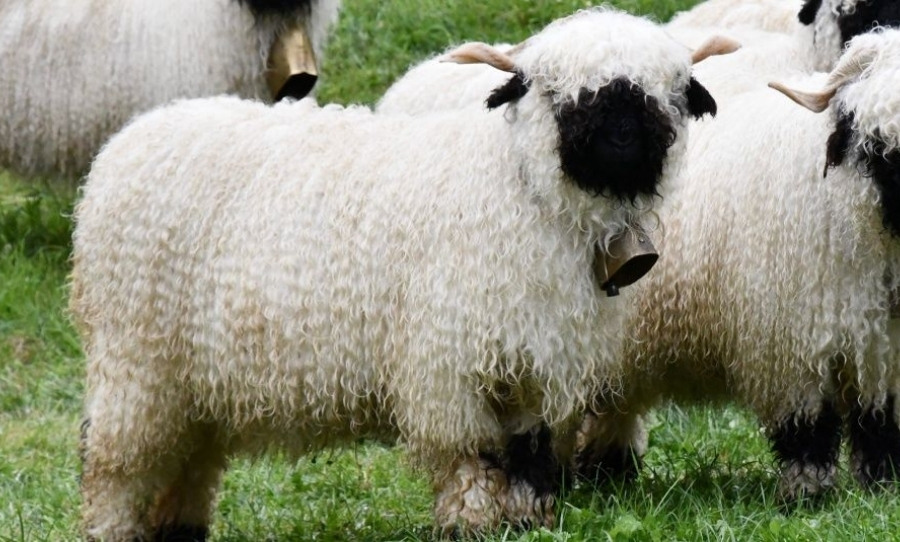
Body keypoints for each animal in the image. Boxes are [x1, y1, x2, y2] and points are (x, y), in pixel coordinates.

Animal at [68, 8, 732, 540]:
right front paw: (471, 523)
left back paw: (178, 528)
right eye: (553, 91)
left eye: (670, 91)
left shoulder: (536, 361)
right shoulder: (451, 364)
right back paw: (112, 526)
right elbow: (472, 454)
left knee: (188, 456)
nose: (622, 137)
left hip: (192, 376)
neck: (519, 191)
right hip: (137, 358)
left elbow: (529, 452)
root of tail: (132, 139)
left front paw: (524, 521)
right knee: (114, 461)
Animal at [576, 27, 900, 504]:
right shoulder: (788, 343)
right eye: (870, 131)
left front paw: (883, 486)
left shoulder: (882, 346)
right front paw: (807, 493)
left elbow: (879, 421)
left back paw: (606, 475)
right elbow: (807, 426)